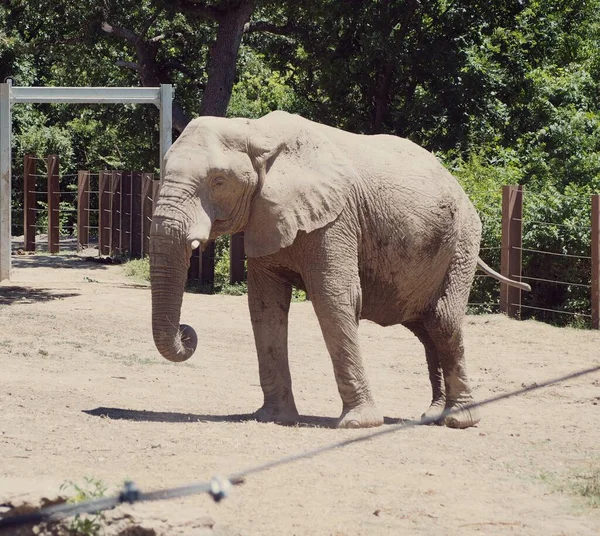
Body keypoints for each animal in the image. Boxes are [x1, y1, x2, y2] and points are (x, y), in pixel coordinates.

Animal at [149, 111, 528, 430]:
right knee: (427, 327)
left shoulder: (335, 220)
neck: (256, 132)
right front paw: (272, 418)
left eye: (218, 182)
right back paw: (433, 416)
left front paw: (357, 424)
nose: (187, 332)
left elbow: (334, 299)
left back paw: (459, 421)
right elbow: (265, 307)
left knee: (444, 321)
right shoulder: (266, 220)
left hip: (462, 242)